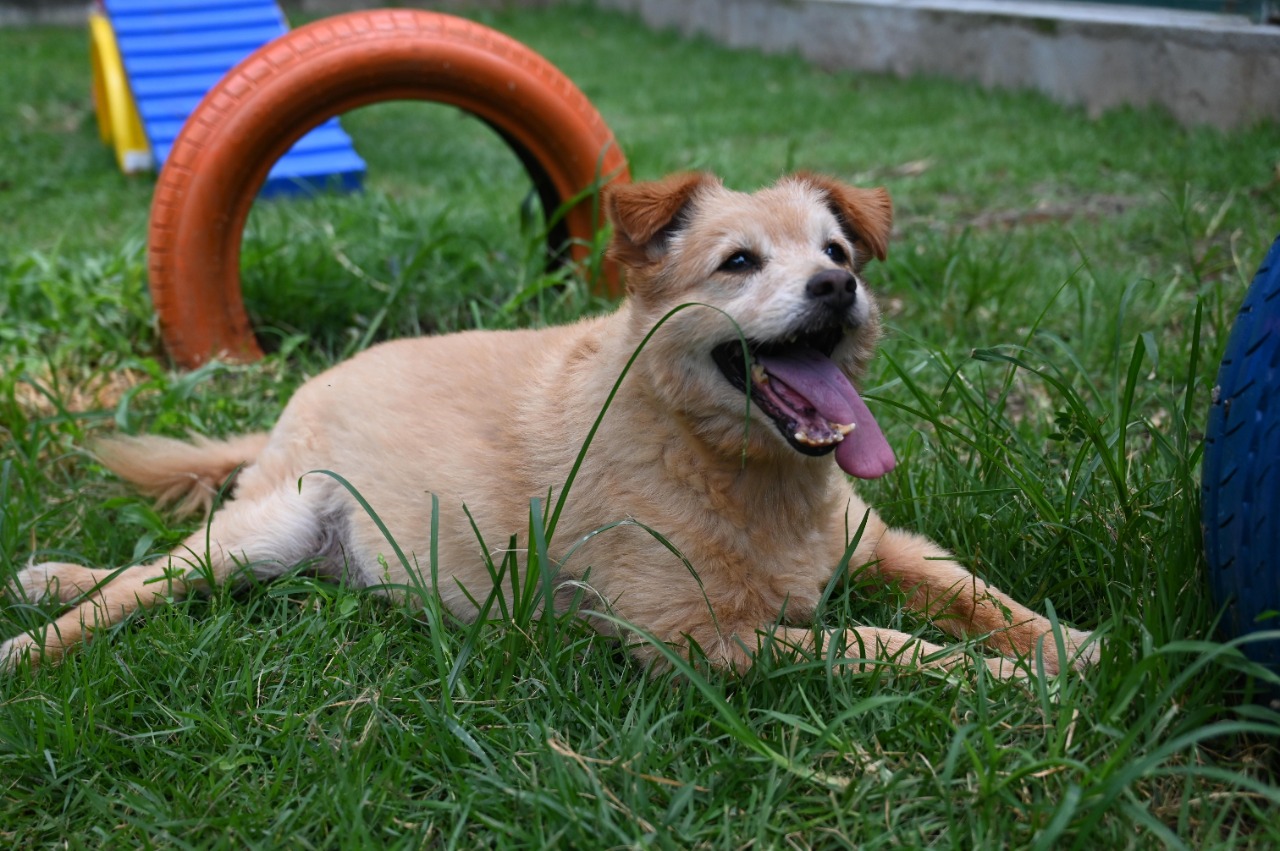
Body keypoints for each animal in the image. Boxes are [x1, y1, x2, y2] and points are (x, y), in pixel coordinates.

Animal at [5, 172, 1095, 675]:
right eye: (738, 262)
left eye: (837, 250)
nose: (839, 288)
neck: (729, 463)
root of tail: (310, 386)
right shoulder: (699, 641)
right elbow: (881, 643)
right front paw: (1008, 683)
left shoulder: (883, 541)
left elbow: (970, 591)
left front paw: (1066, 645)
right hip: (270, 526)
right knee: (145, 581)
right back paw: (39, 630)